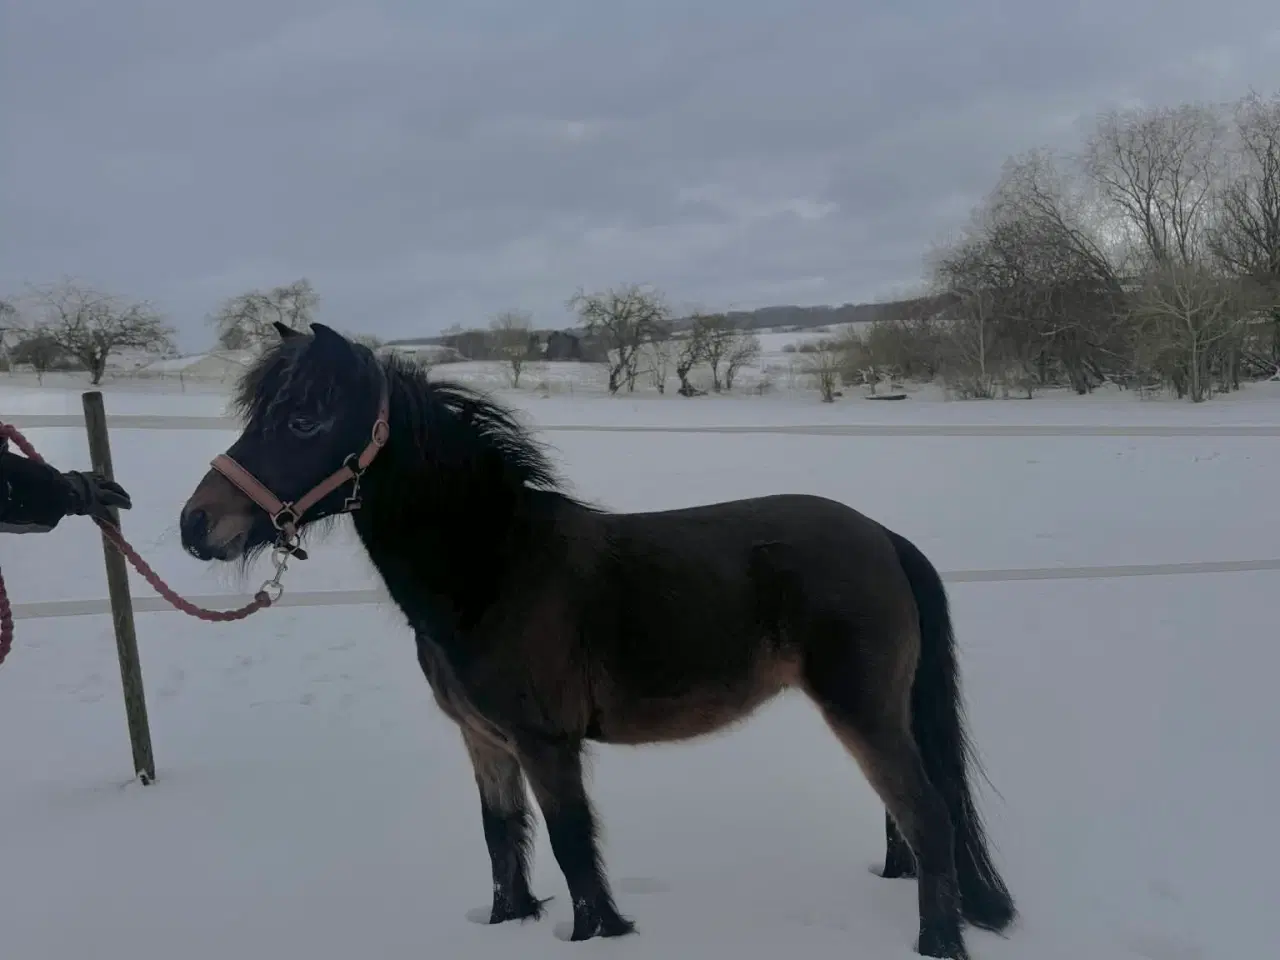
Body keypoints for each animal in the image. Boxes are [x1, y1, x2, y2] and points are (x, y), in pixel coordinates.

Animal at [178, 322, 1015, 959]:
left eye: (303, 421)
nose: (196, 525)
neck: (494, 567)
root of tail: (883, 538)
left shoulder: (546, 744)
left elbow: (574, 847)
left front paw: (599, 932)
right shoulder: (486, 743)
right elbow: (503, 841)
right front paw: (509, 923)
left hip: (863, 710)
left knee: (927, 814)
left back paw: (937, 944)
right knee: (904, 815)